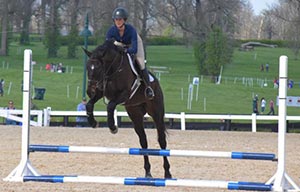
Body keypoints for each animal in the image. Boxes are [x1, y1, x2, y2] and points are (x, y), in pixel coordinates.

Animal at [83, 38, 172, 178]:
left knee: (161, 140)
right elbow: (89, 104)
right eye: (87, 67)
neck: (113, 70)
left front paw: (113, 127)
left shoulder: (125, 94)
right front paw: (93, 122)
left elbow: (110, 106)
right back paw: (147, 172)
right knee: (143, 141)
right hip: (135, 114)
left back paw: (167, 173)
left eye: (98, 68)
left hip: (156, 112)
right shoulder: (101, 92)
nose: (89, 91)